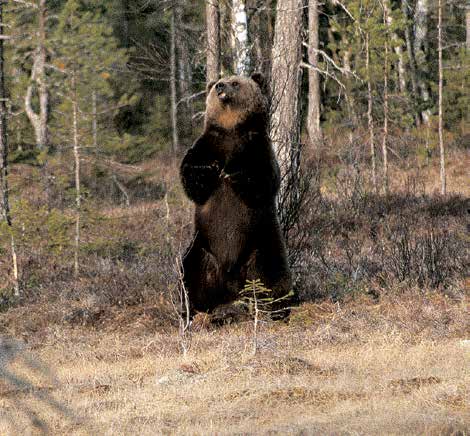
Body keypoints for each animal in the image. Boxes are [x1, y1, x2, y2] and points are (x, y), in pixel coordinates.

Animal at [179, 74, 290, 314]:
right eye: (217, 83)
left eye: (235, 83)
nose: (220, 86)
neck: (231, 128)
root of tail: (231, 286)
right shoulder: (207, 144)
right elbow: (191, 178)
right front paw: (209, 170)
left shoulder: (256, 146)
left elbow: (264, 179)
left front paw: (233, 174)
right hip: (202, 248)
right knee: (189, 274)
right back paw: (192, 308)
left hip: (262, 242)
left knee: (274, 272)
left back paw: (275, 307)